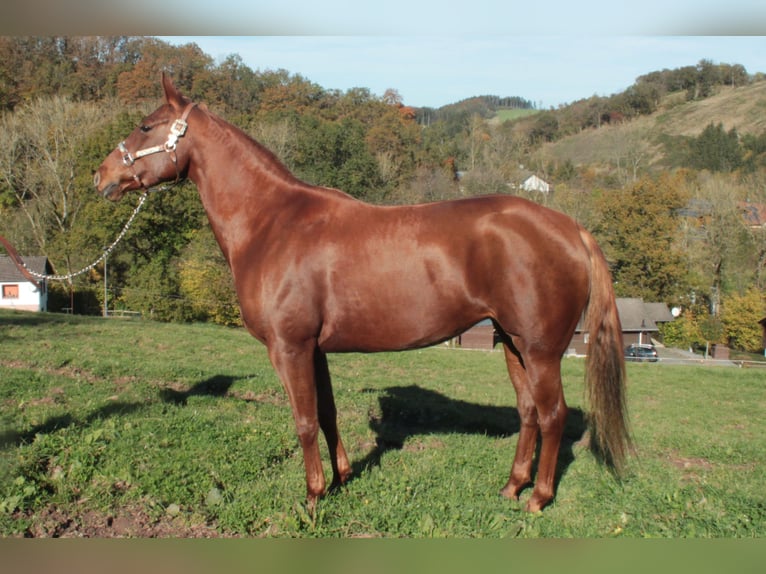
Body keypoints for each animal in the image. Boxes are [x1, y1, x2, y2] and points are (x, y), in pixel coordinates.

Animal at [96, 75, 632, 512]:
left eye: (145, 126)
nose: (101, 176)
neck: (271, 223)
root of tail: (569, 227)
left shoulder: (289, 347)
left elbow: (304, 420)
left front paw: (312, 497)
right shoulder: (313, 350)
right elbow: (327, 413)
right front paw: (341, 478)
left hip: (541, 350)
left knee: (553, 416)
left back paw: (538, 498)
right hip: (514, 344)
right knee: (528, 413)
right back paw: (511, 487)